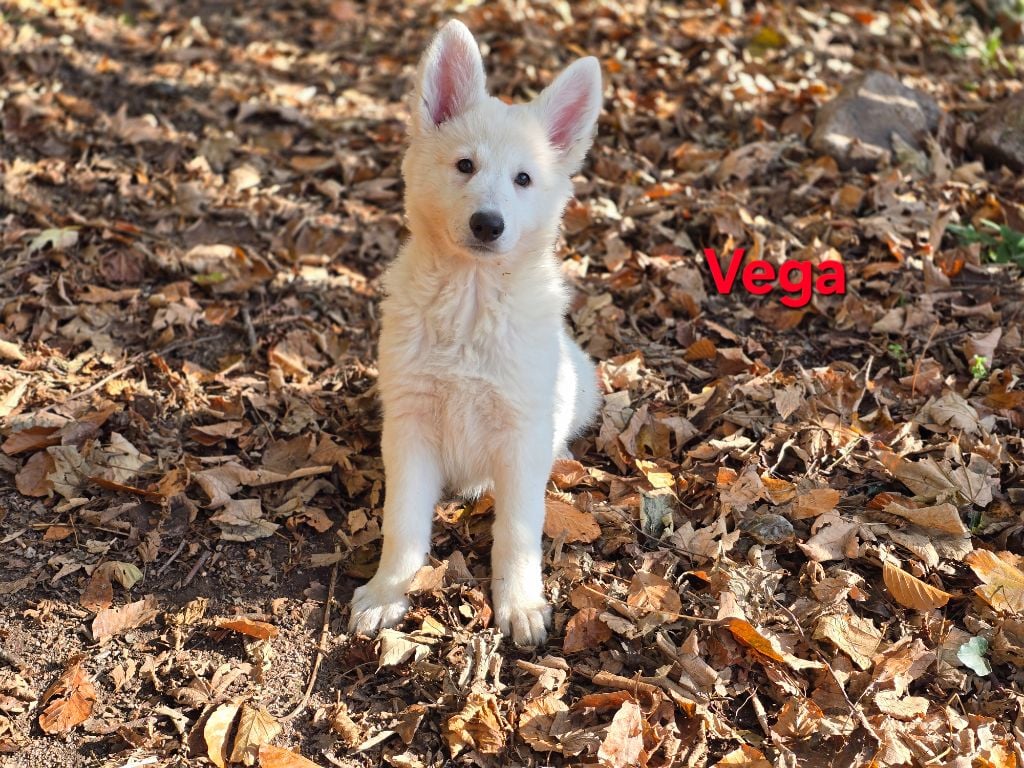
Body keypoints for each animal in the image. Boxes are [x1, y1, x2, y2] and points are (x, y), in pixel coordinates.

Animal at [348, 18, 602, 647]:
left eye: (523, 179)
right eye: (464, 165)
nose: (489, 224)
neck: (470, 298)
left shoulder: (520, 433)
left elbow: (517, 531)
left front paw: (521, 604)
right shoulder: (410, 425)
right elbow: (402, 523)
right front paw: (389, 592)